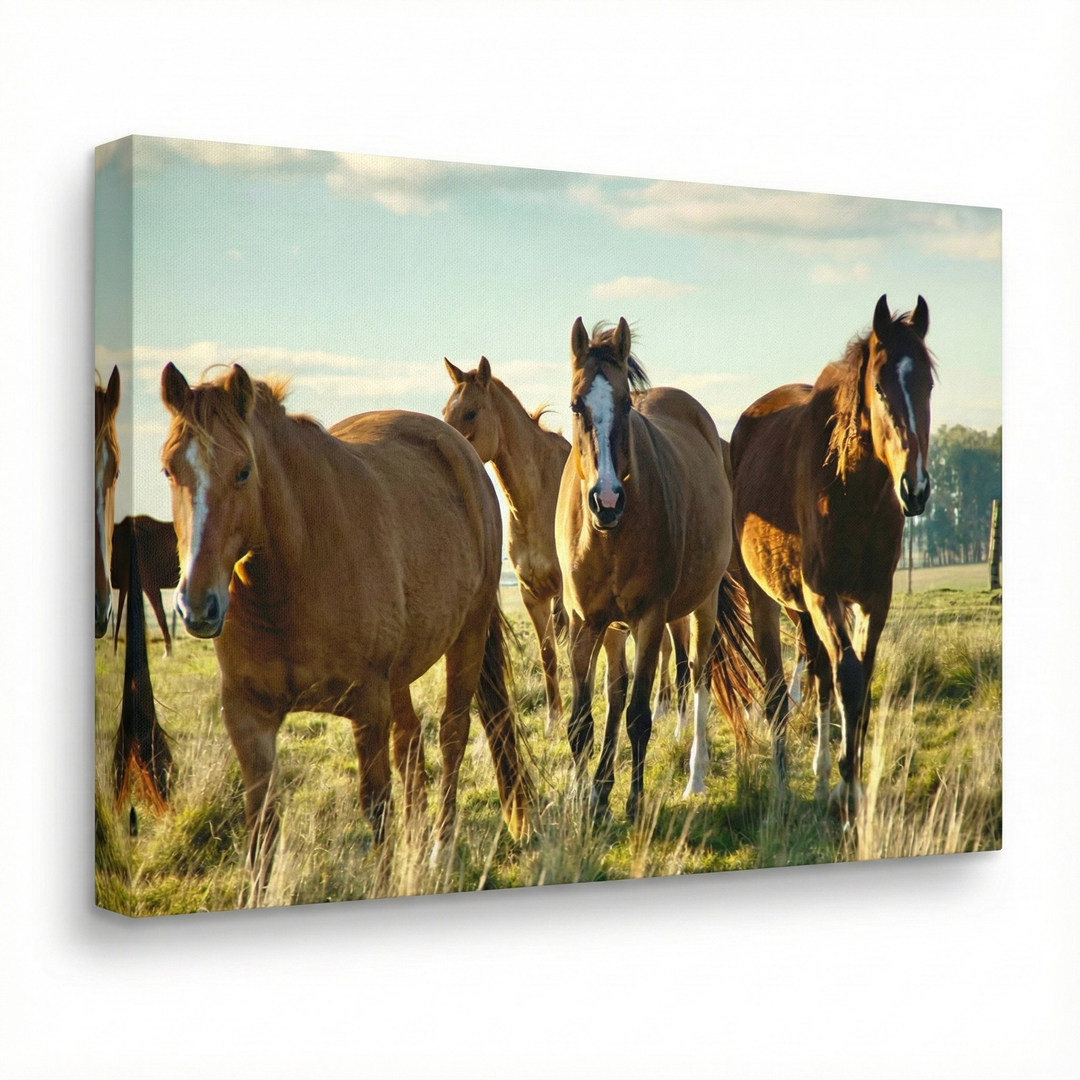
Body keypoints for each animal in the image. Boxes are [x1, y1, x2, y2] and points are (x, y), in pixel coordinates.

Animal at [159, 363, 531, 895]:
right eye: (170, 470)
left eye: (243, 471)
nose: (197, 605)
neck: (292, 578)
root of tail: (459, 448)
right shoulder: (247, 717)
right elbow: (262, 828)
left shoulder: (367, 705)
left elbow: (376, 809)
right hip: (400, 676)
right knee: (411, 743)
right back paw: (419, 844)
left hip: (467, 637)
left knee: (452, 735)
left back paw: (439, 850)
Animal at [441, 357, 691, 738]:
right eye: (445, 410)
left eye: (470, 413)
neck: (536, 497)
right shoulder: (533, 594)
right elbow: (549, 656)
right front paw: (553, 720)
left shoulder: (571, 599)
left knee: (673, 647)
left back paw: (666, 708)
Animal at [556, 318, 759, 820]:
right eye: (576, 404)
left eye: (626, 405)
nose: (607, 500)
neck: (608, 534)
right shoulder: (584, 623)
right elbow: (583, 720)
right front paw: (584, 799)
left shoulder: (649, 619)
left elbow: (639, 717)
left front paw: (633, 801)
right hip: (613, 628)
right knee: (615, 691)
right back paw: (600, 789)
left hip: (702, 606)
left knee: (699, 676)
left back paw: (694, 777)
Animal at [730, 295, 934, 814]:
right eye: (879, 386)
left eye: (927, 384)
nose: (916, 488)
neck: (852, 491)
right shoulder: (823, 594)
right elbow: (848, 677)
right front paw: (847, 783)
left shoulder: (872, 599)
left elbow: (858, 681)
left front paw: (847, 781)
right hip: (769, 599)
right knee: (779, 692)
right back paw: (784, 786)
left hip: (804, 608)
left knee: (819, 677)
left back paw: (821, 779)